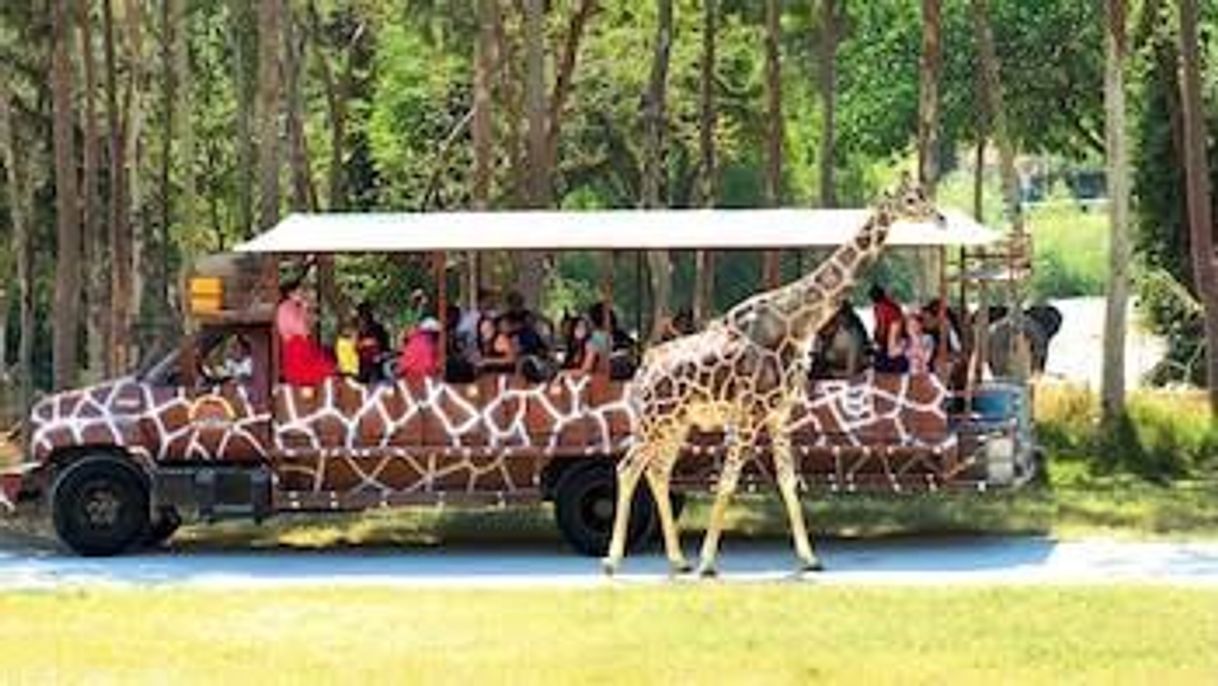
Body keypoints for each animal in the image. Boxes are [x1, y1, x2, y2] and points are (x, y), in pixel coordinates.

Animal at [604, 175, 945, 575]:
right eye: (911, 199)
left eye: (923, 194)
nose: (940, 218)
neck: (798, 323)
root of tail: (642, 370)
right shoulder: (750, 415)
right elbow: (727, 482)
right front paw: (708, 562)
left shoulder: (779, 414)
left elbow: (787, 480)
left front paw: (810, 558)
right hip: (655, 420)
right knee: (627, 468)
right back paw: (613, 561)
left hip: (676, 424)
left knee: (657, 471)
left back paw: (677, 560)